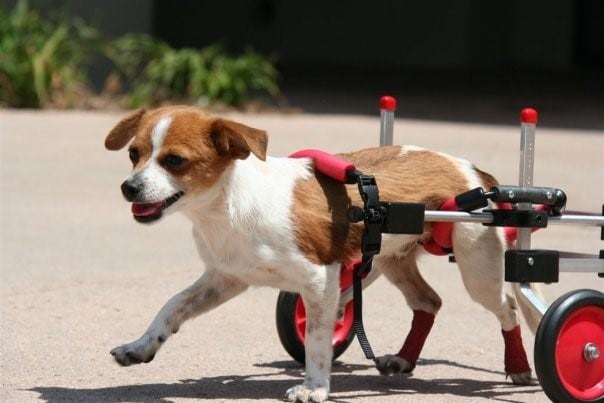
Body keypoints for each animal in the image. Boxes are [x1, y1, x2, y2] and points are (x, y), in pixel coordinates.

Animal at [106, 105, 536, 402]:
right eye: (133, 154)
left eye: (174, 160)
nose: (128, 188)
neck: (228, 206)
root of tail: (474, 172)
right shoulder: (226, 278)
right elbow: (172, 306)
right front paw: (140, 346)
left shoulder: (319, 280)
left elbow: (316, 339)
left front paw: (314, 386)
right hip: (388, 259)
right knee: (428, 301)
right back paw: (403, 358)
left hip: (477, 266)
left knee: (508, 307)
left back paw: (518, 367)